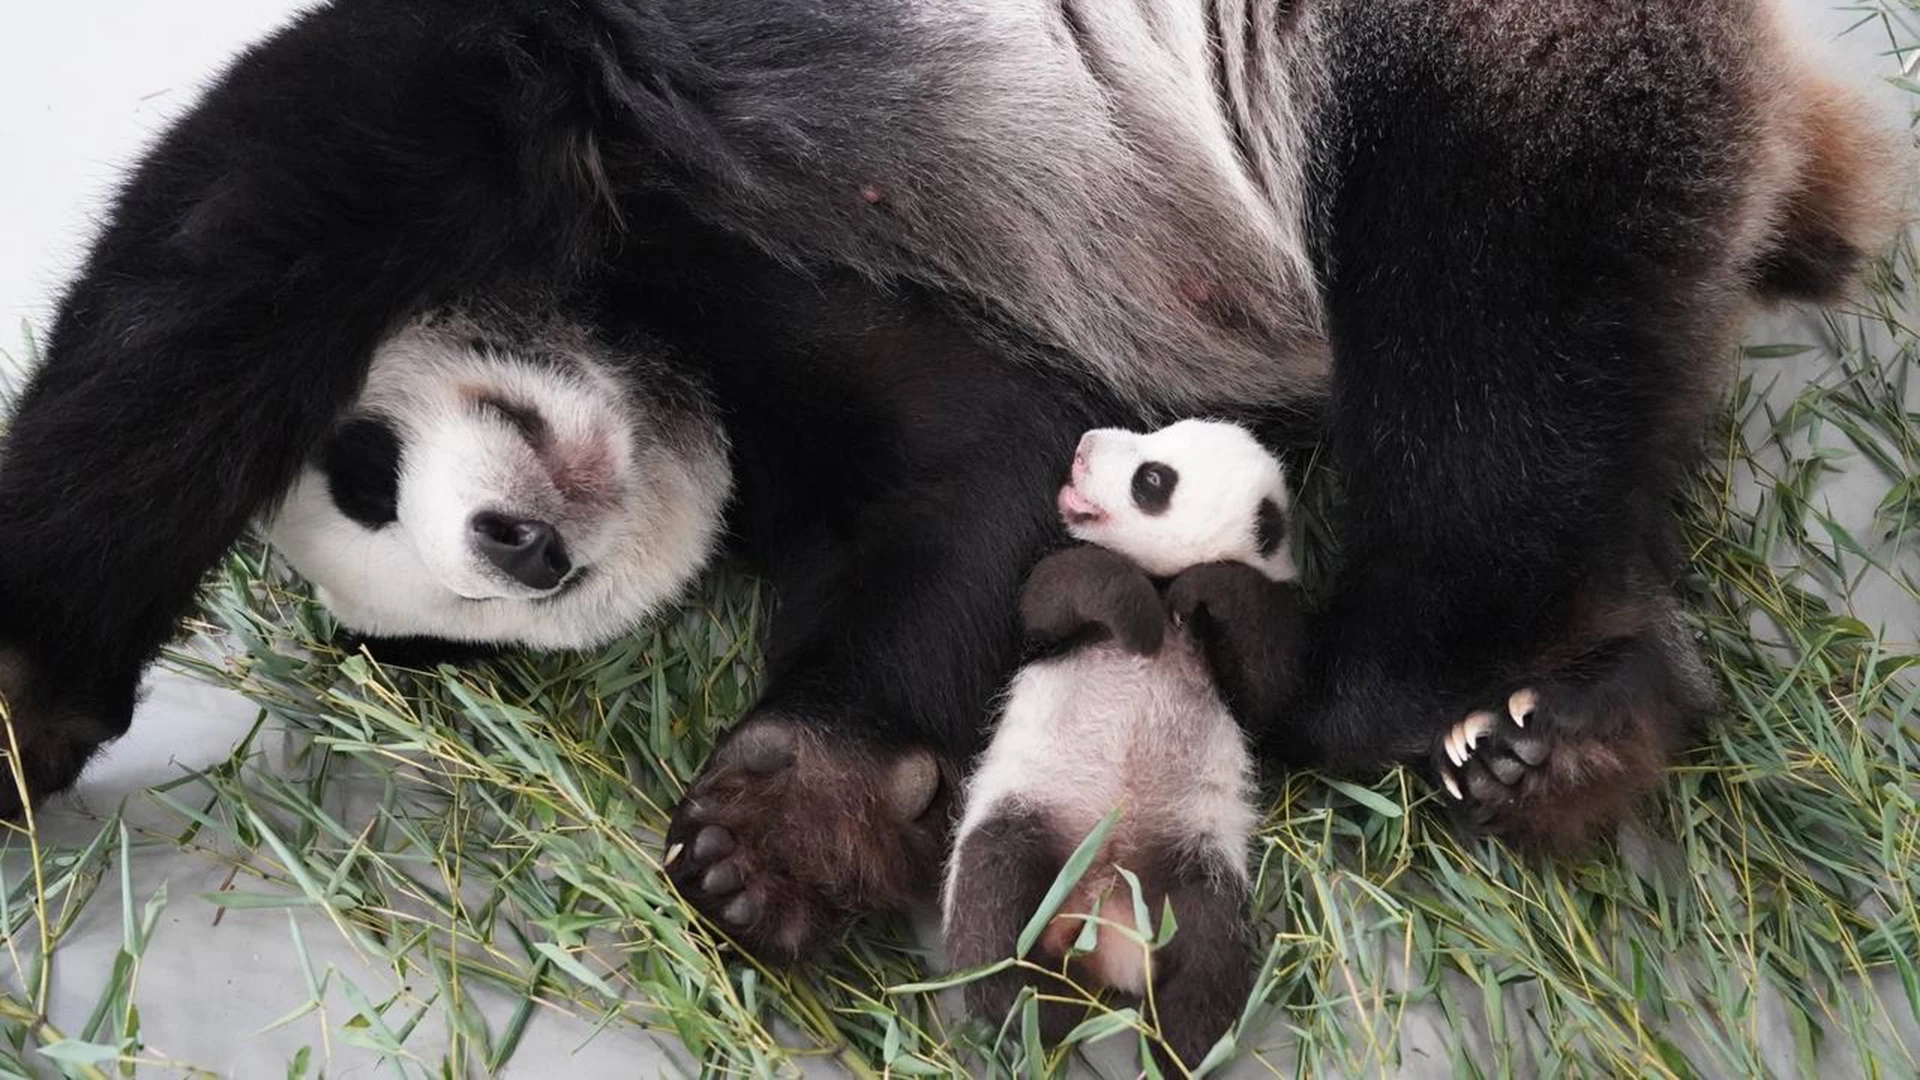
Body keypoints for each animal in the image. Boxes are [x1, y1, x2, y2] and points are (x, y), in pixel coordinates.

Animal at [0, 0, 1904, 957]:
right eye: (465, 629)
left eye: (369, 464)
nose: (519, 547)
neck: (666, 382)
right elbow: (968, 495)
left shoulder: (624, 169)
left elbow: (212, 276)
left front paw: (772, 832)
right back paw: (1576, 723)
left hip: (1469, 69)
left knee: (1485, 348)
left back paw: (1413, 684)